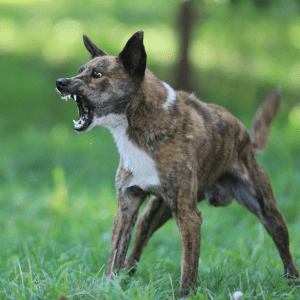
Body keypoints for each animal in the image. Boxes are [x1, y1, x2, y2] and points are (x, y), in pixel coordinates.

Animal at [55, 31, 298, 298]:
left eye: (97, 75)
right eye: (80, 70)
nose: (60, 82)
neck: (139, 126)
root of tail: (246, 138)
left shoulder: (189, 217)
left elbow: (188, 268)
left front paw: (184, 294)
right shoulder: (126, 207)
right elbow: (114, 255)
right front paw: (109, 288)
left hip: (267, 211)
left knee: (284, 249)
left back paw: (292, 283)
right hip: (152, 214)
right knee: (135, 250)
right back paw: (127, 277)